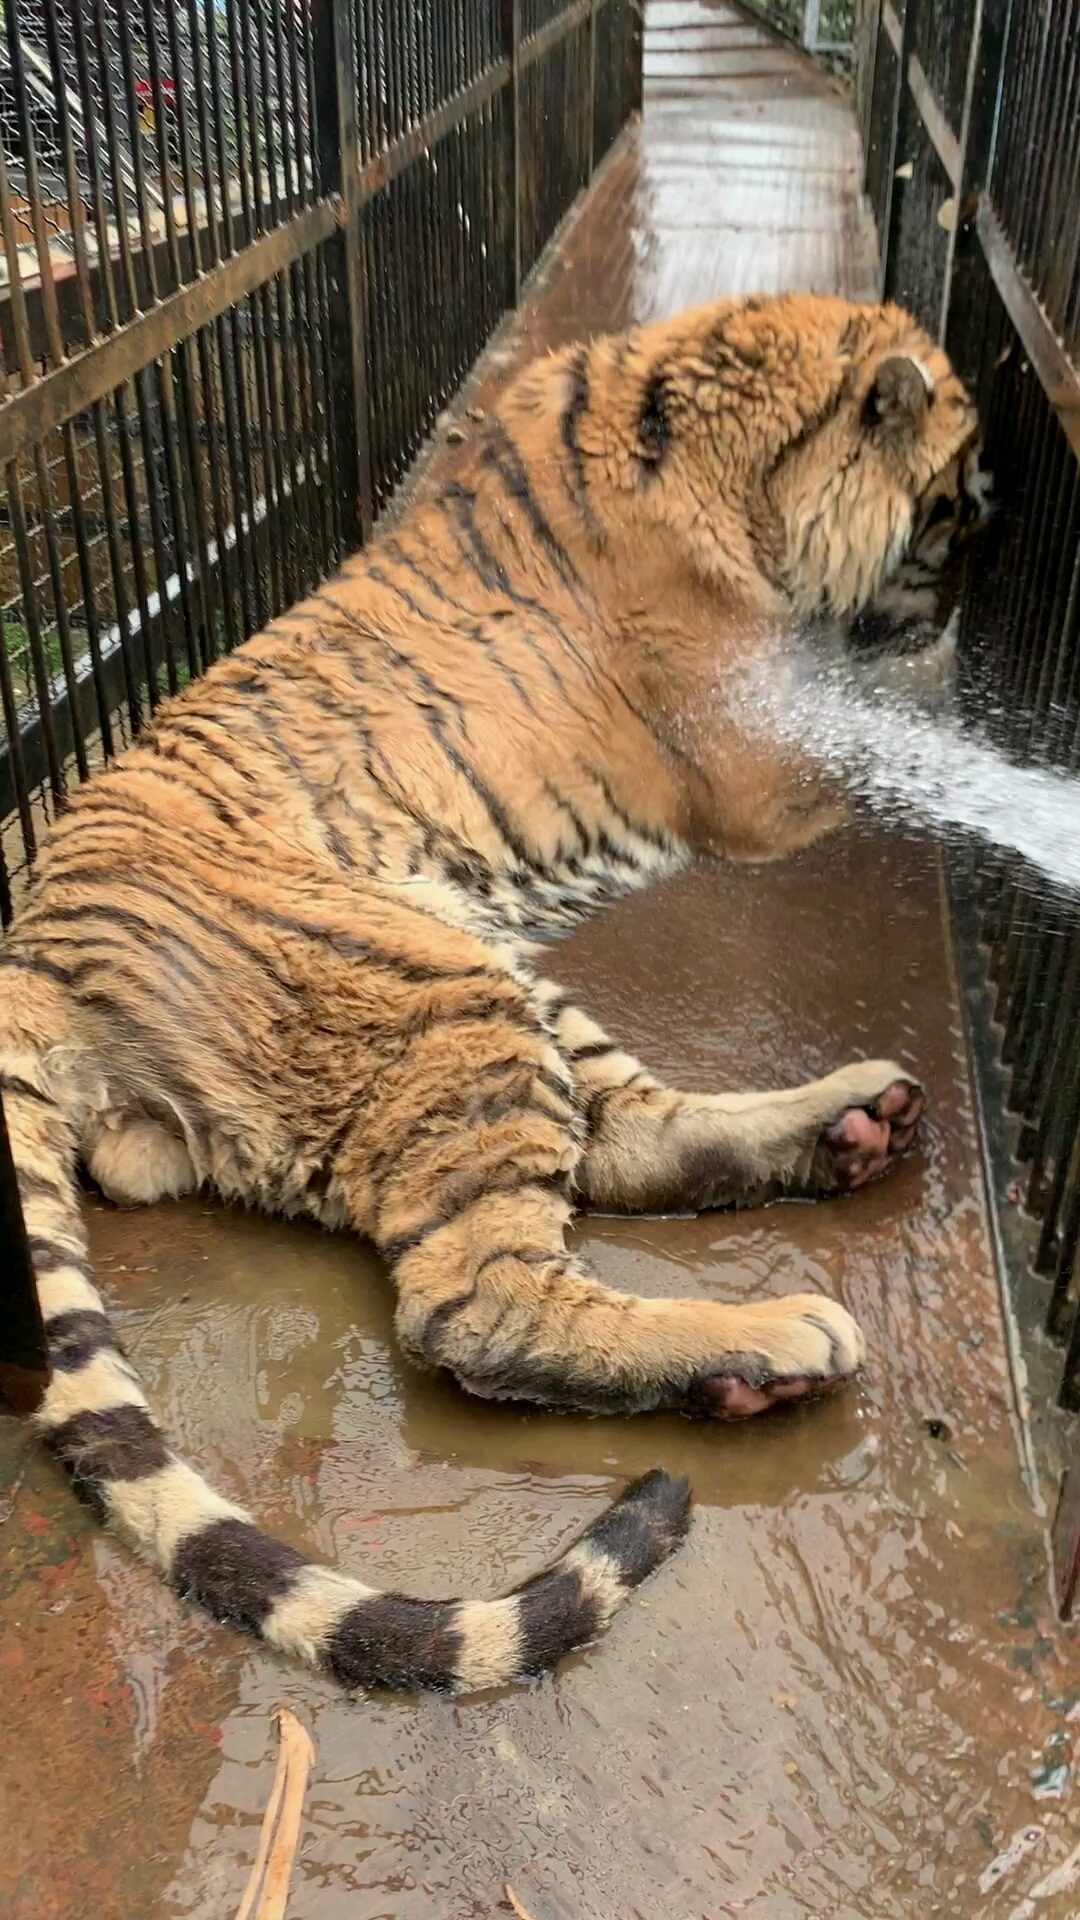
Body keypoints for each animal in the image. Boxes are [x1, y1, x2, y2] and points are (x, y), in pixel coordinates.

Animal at [0, 292, 987, 1698]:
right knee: (476, 1309)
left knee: (630, 1142)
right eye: (953, 501)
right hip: (446, 988)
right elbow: (892, 730)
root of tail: (33, 947)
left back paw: (854, 1126)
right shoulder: (756, 765)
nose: (955, 595)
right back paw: (771, 1342)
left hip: (488, 961)